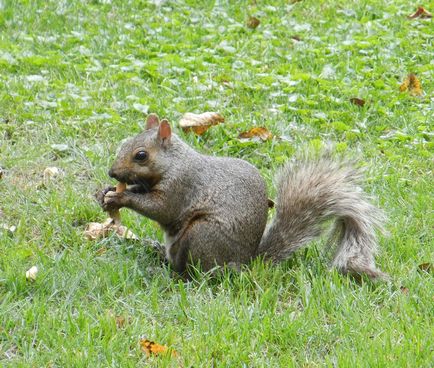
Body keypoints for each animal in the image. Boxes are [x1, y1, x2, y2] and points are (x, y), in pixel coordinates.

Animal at [96, 113, 388, 280]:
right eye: (124, 143)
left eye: (141, 155)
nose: (112, 172)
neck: (174, 163)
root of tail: (245, 263)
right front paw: (104, 192)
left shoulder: (182, 185)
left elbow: (161, 208)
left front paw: (120, 199)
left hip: (202, 235)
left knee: (198, 274)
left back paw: (171, 273)